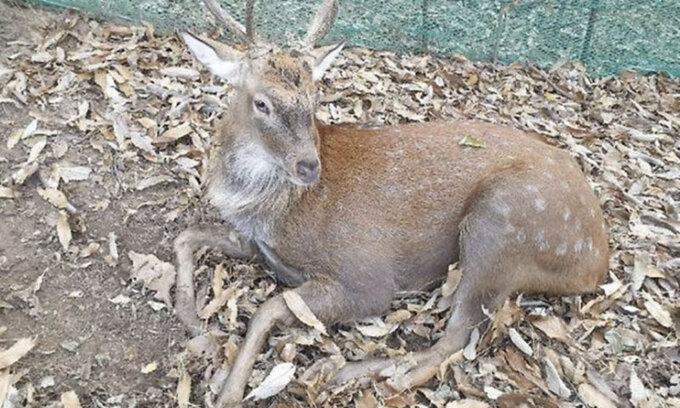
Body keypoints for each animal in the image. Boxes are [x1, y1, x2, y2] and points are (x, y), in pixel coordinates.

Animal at [173, 0, 608, 408]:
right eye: (262, 103)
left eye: (315, 98)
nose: (309, 166)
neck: (272, 211)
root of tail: (597, 260)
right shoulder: (256, 243)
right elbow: (187, 235)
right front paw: (192, 321)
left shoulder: (365, 276)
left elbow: (267, 309)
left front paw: (229, 393)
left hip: (503, 222)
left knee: (454, 339)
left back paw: (344, 372)